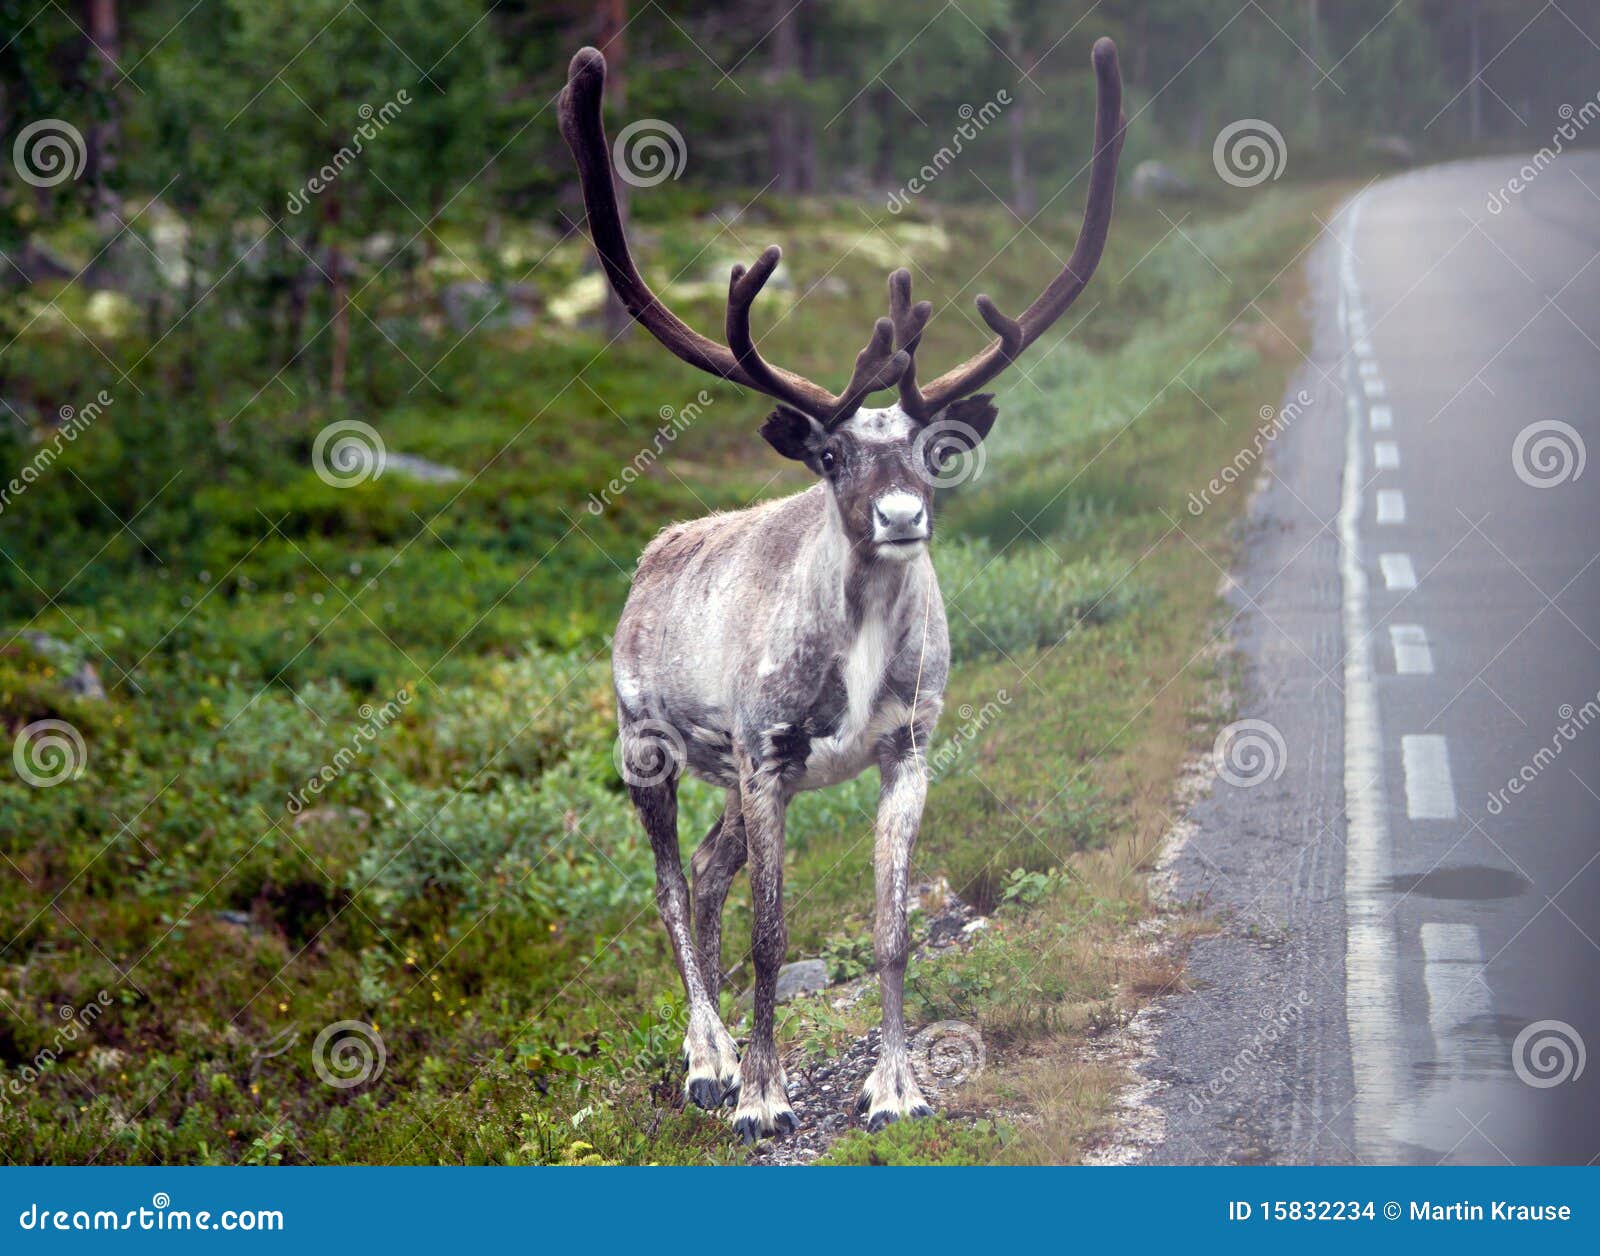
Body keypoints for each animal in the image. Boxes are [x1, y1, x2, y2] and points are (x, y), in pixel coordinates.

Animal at [558, 37, 1124, 1144]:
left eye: (935, 448)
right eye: (829, 453)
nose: (902, 516)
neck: (857, 644)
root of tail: (653, 554)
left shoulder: (907, 749)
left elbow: (890, 926)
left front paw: (896, 1086)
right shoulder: (768, 752)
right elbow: (775, 936)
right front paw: (763, 1096)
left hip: (729, 774)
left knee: (707, 869)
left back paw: (712, 1050)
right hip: (648, 743)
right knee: (668, 886)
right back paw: (708, 1059)